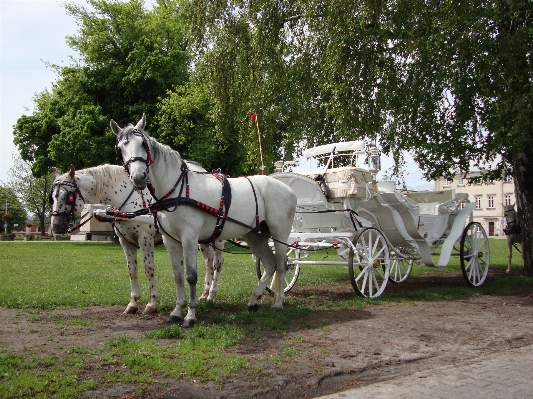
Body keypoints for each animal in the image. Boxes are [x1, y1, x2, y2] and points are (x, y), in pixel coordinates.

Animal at [50, 164, 224, 314]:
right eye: (52, 197)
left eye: (68, 196)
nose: (56, 227)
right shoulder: (125, 242)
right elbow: (132, 270)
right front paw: (133, 303)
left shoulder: (145, 239)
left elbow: (149, 269)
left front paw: (152, 303)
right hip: (202, 239)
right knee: (208, 262)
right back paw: (205, 293)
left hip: (217, 239)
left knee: (217, 263)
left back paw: (212, 294)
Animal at [110, 115, 298, 328]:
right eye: (120, 149)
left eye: (143, 144)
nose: (139, 177)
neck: (177, 190)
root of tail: (288, 189)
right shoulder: (170, 240)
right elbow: (178, 275)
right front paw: (176, 311)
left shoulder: (190, 237)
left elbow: (191, 276)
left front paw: (190, 315)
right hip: (254, 236)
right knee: (269, 264)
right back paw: (253, 300)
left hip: (279, 234)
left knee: (281, 265)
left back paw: (278, 303)